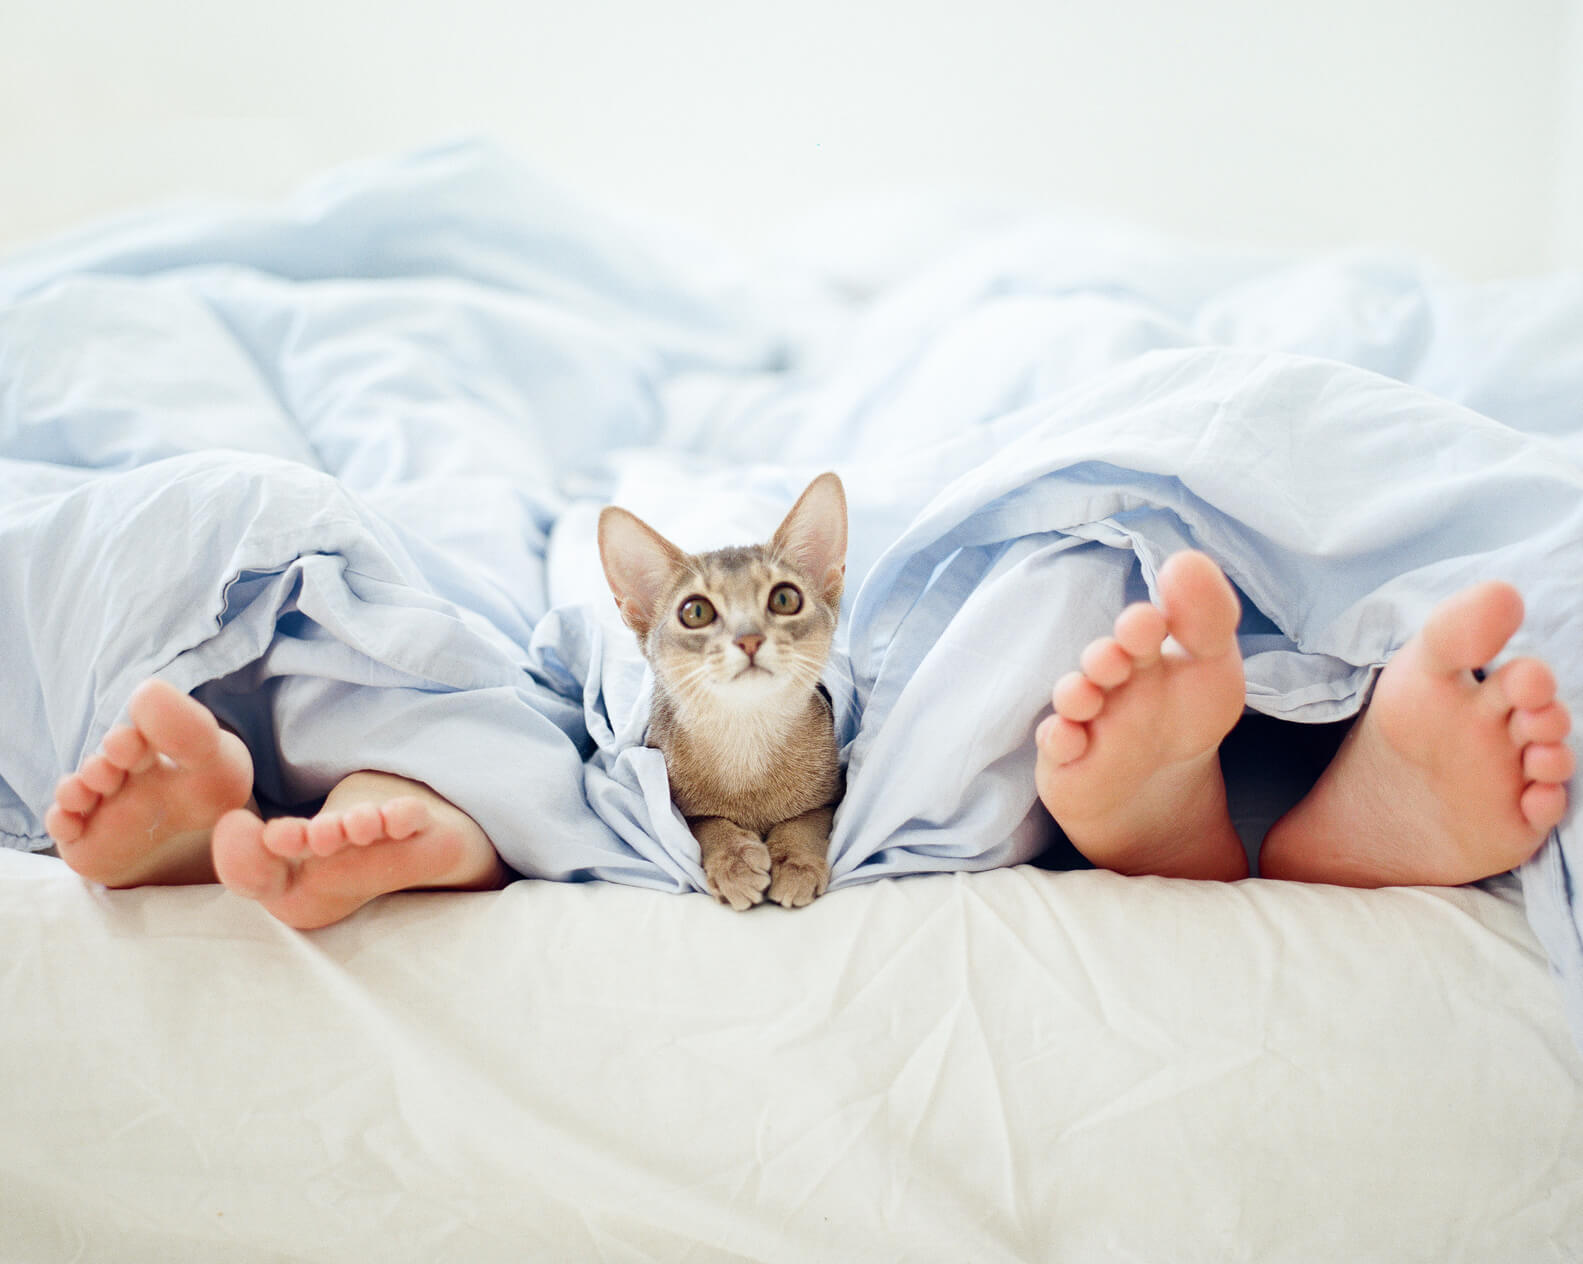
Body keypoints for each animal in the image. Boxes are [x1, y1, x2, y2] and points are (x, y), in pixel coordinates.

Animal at [595, 475, 848, 912]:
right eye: (695, 611)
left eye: (785, 598)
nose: (749, 639)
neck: (747, 742)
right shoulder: (671, 800)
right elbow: (704, 823)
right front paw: (734, 863)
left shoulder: (832, 793)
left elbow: (806, 820)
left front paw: (796, 863)